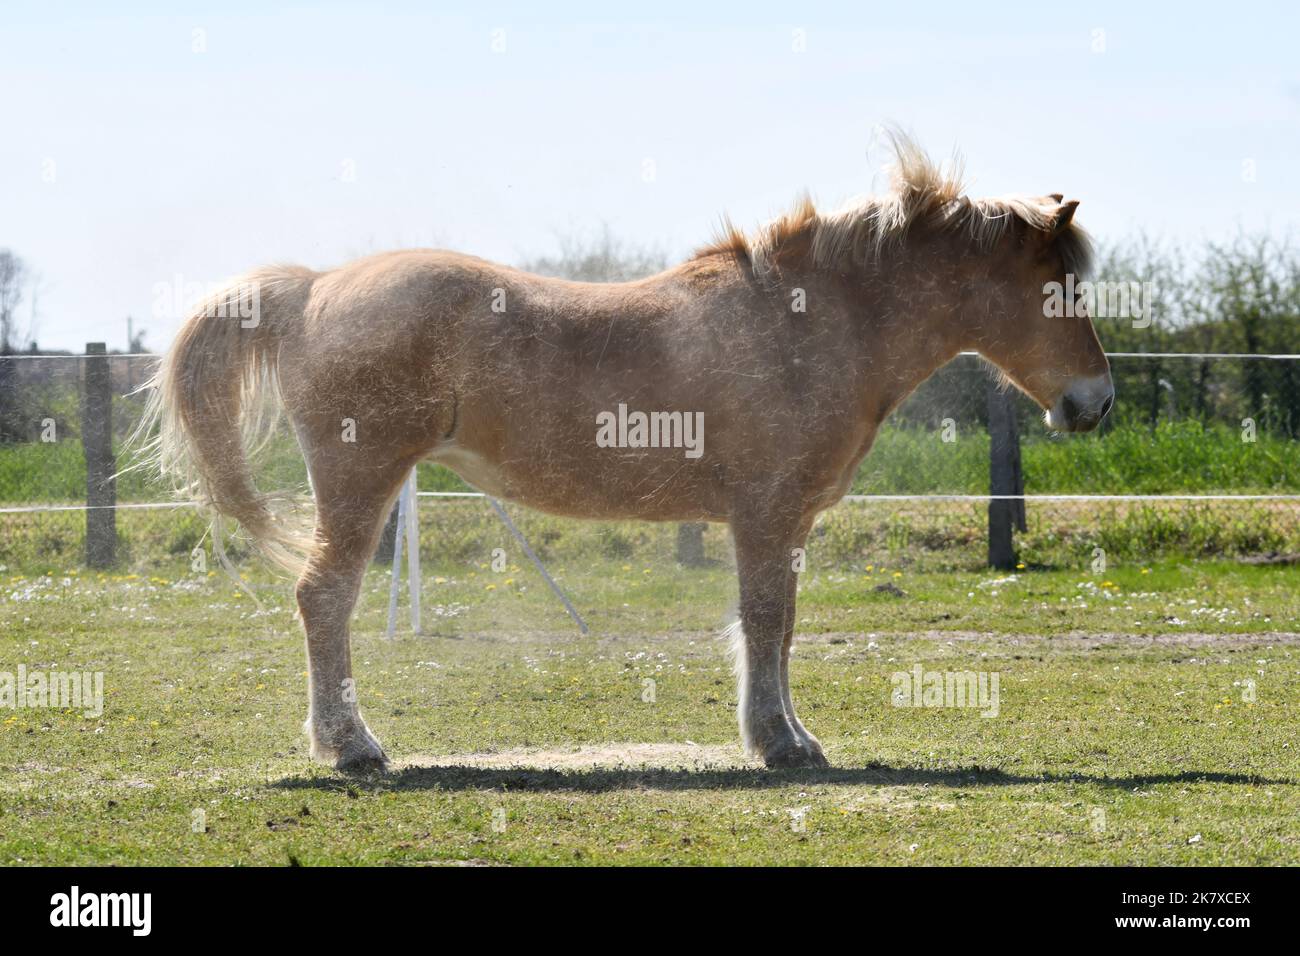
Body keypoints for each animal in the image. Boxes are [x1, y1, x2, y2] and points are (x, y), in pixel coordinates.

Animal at [138, 133, 1112, 771]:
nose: (1094, 402)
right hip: (359, 484)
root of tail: (311, 291)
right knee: (323, 600)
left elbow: (781, 627)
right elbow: (765, 623)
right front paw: (779, 746)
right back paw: (352, 748)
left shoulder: (785, 524)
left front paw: (789, 735)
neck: (808, 320)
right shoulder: (765, 516)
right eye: (1056, 285)